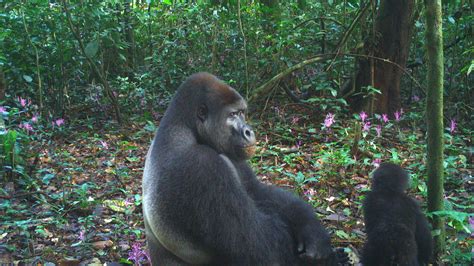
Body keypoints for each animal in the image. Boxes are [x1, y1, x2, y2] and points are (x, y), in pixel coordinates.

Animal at [143, 72, 338, 264]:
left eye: (242, 113)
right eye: (232, 115)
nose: (248, 131)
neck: (184, 127)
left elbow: (257, 190)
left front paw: (311, 229)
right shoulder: (202, 164)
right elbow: (260, 246)